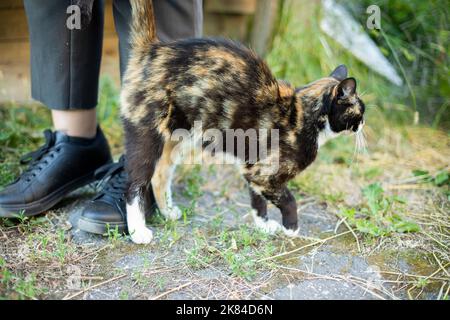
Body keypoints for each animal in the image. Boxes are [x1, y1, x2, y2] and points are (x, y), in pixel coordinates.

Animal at [122, 1, 366, 244]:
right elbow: (288, 199)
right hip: (147, 133)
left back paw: (167, 212)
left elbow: (257, 199)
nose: (363, 122)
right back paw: (138, 231)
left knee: (160, 174)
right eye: (361, 109)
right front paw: (291, 228)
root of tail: (154, 49)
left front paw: (263, 225)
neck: (304, 113)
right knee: (134, 183)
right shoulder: (265, 174)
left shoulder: (252, 167)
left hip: (178, 138)